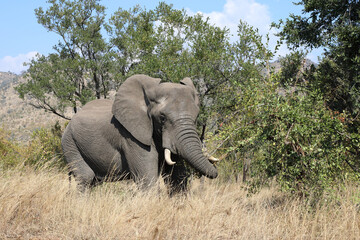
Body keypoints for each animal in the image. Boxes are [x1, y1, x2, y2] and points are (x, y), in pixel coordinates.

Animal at [60, 74, 218, 194]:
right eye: (162, 118)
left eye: (196, 117)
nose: (216, 170)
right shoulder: (131, 136)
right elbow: (147, 179)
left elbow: (176, 177)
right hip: (70, 142)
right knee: (85, 177)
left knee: (94, 181)